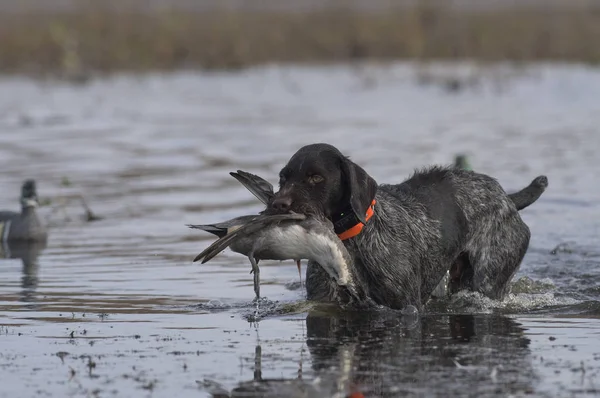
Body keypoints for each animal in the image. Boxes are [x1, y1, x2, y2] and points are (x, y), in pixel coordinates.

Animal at [264, 143, 548, 310]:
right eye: (283, 178)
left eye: (315, 177)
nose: (277, 204)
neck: (351, 242)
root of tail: (507, 198)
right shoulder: (325, 302)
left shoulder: (405, 308)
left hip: (488, 280)